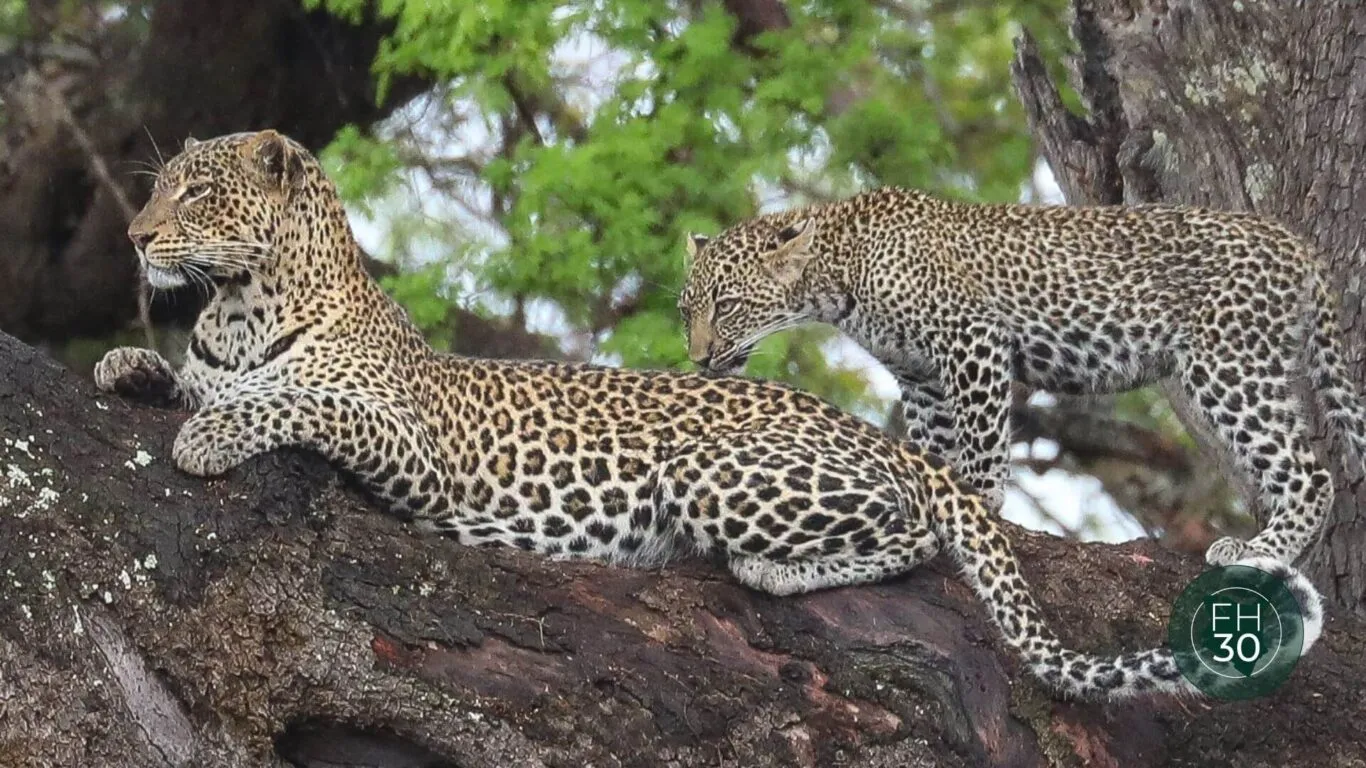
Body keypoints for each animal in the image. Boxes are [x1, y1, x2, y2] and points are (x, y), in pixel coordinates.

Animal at [679, 186, 1366, 569]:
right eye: (688, 312)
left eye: (728, 305)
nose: (699, 358)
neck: (837, 270)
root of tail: (1297, 245)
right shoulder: (921, 376)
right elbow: (931, 447)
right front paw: (940, 491)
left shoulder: (973, 337)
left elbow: (982, 435)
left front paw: (979, 498)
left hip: (1228, 362)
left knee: (1310, 471)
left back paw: (1260, 550)